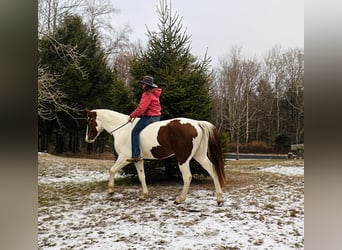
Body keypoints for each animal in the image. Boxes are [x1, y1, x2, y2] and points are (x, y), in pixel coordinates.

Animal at [84, 108, 226, 206]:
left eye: (89, 120)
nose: (88, 139)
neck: (122, 129)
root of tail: (197, 123)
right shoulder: (138, 160)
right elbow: (142, 176)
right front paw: (144, 195)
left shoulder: (124, 157)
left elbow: (112, 170)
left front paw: (111, 190)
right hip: (199, 155)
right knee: (212, 170)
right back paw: (219, 198)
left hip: (183, 159)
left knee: (187, 176)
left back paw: (180, 199)